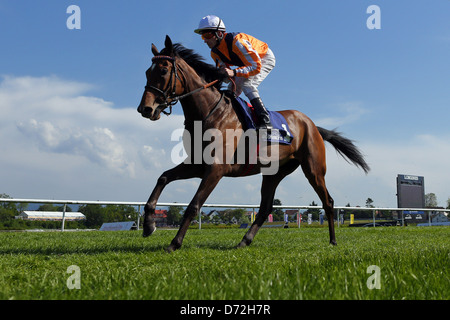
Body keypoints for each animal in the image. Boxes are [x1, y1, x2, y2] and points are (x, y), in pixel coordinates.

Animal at [137, 35, 370, 252]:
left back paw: (332, 240)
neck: (211, 113)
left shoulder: (216, 169)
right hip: (273, 173)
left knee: (328, 202)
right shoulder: (197, 164)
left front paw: (174, 243)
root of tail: (311, 125)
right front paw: (149, 225)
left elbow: (194, 205)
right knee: (265, 207)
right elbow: (163, 177)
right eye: (148, 72)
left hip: (314, 169)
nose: (145, 109)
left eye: (163, 70)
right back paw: (245, 240)